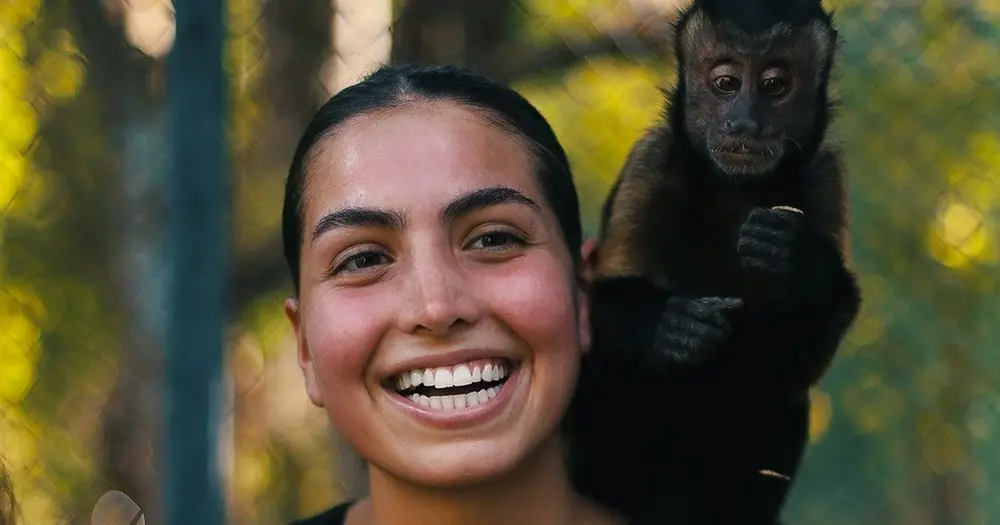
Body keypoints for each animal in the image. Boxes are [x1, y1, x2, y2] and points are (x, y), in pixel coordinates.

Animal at [568, 1, 864, 524]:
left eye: (774, 85)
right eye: (726, 83)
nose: (745, 123)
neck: (737, 190)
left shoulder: (826, 175)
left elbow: (798, 363)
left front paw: (799, 259)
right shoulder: (652, 162)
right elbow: (597, 309)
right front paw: (672, 326)